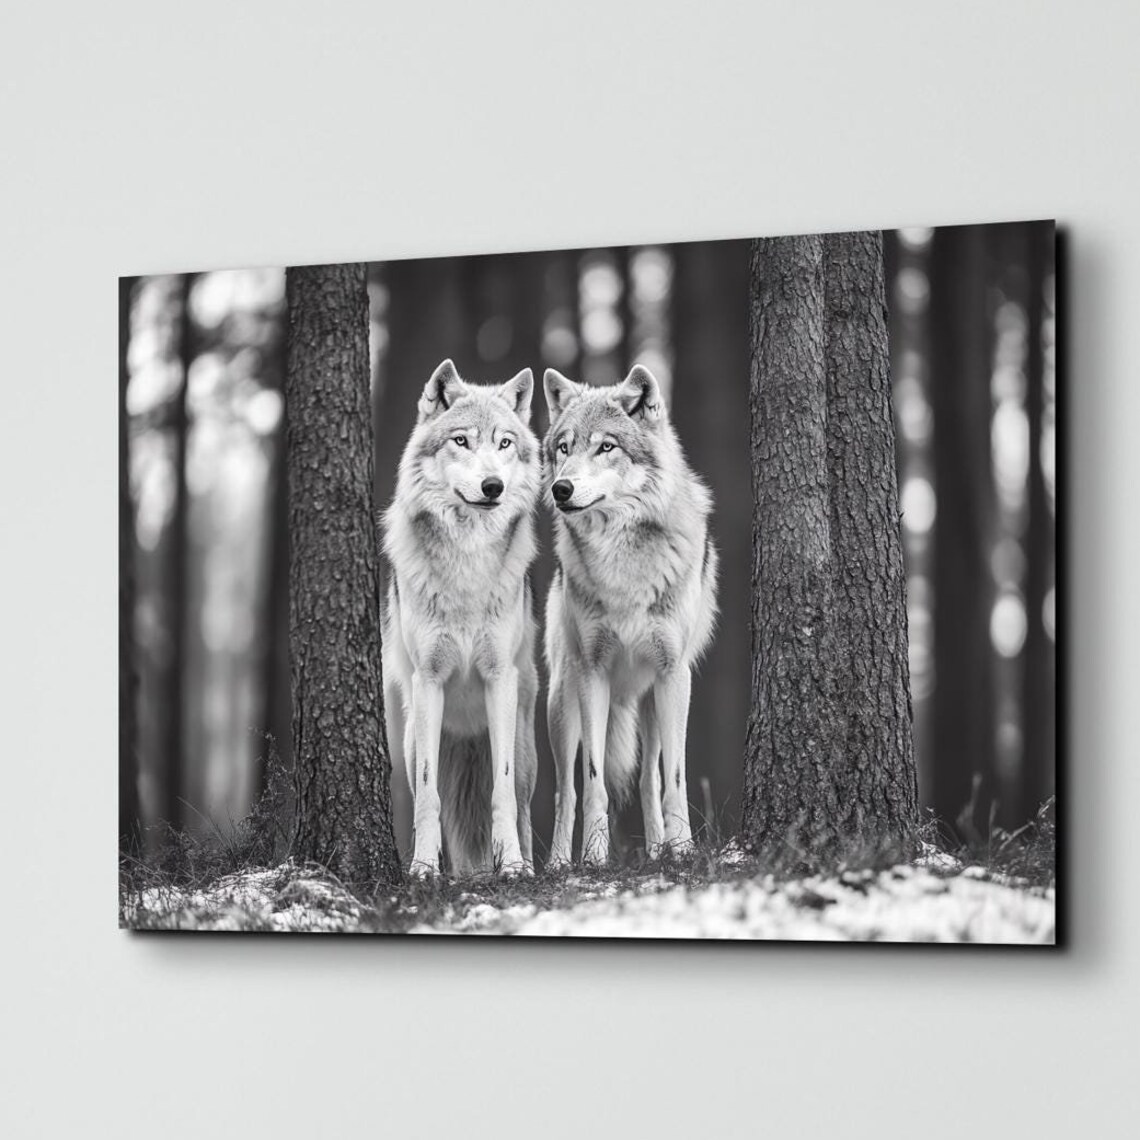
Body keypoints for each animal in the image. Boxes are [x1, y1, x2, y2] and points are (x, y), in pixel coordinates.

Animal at [382, 359, 541, 877]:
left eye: (504, 443)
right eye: (461, 441)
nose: (493, 486)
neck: (467, 563)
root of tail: (469, 732)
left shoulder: (499, 678)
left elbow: (502, 792)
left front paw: (512, 868)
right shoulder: (428, 680)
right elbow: (428, 796)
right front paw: (423, 869)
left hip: (524, 743)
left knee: (523, 801)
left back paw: (530, 864)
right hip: (412, 738)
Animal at [541, 363, 718, 866]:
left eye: (607, 446)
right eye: (564, 448)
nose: (561, 488)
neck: (622, 558)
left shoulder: (675, 673)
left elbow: (673, 779)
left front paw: (683, 849)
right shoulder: (592, 673)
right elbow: (593, 780)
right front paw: (593, 859)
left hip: (656, 700)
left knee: (649, 779)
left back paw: (660, 850)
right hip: (561, 702)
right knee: (564, 791)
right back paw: (557, 863)